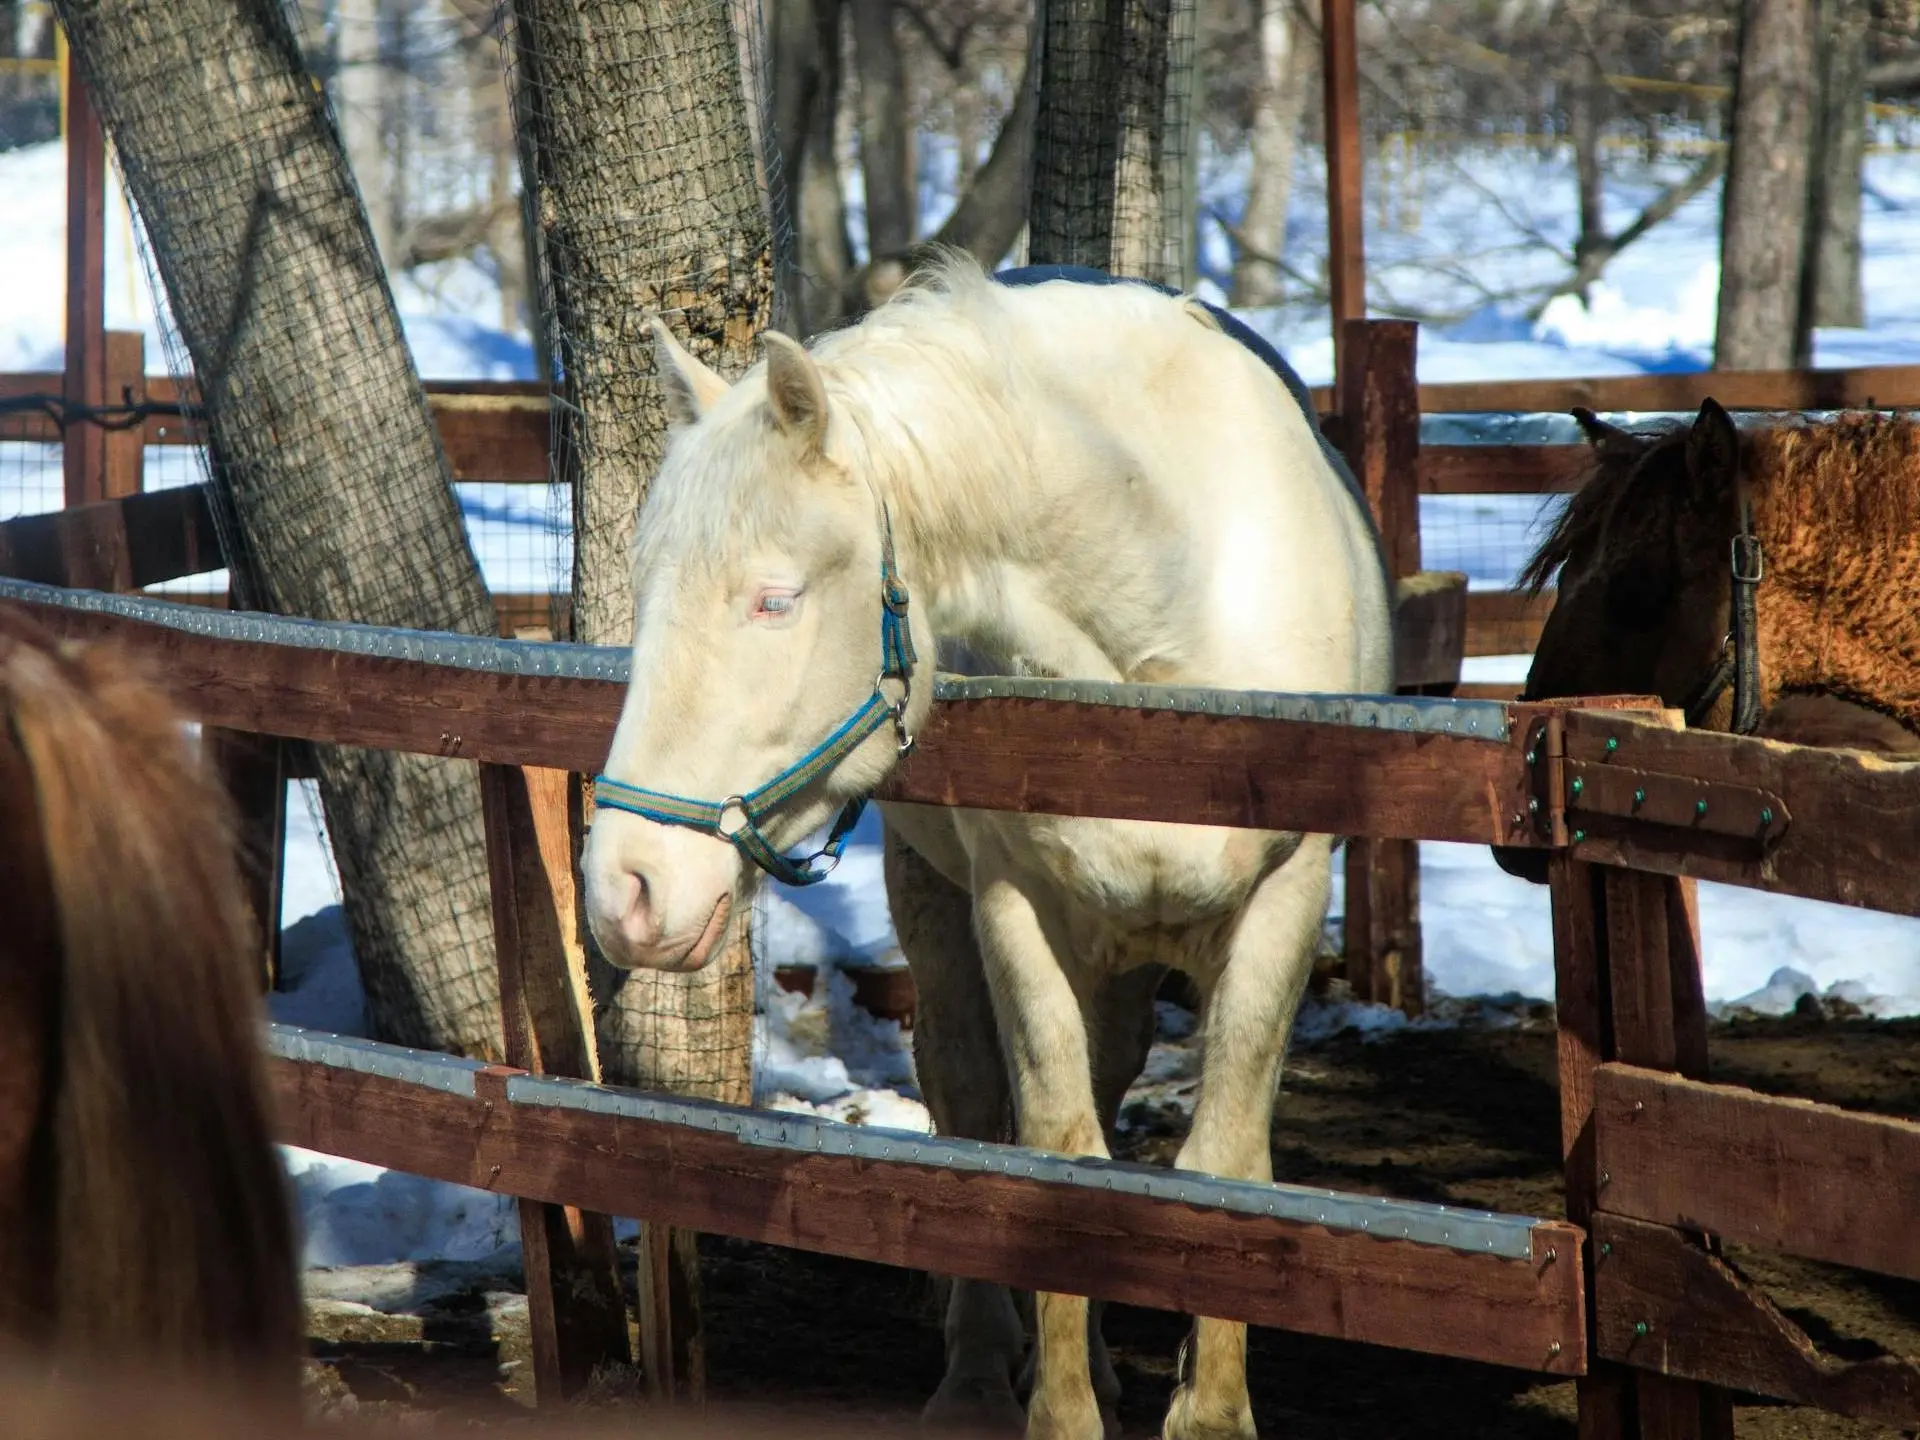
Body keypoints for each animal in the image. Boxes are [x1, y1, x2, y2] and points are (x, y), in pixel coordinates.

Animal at [576, 257, 1390, 1440]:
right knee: (967, 1097)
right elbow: (1052, 1159)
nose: (626, 889)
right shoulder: (1017, 904)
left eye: (774, 600)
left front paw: (1208, 1410)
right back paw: (980, 1371)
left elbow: (1221, 1160)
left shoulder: (1285, 897)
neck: (1171, 612)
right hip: (939, 896)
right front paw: (1057, 1405)